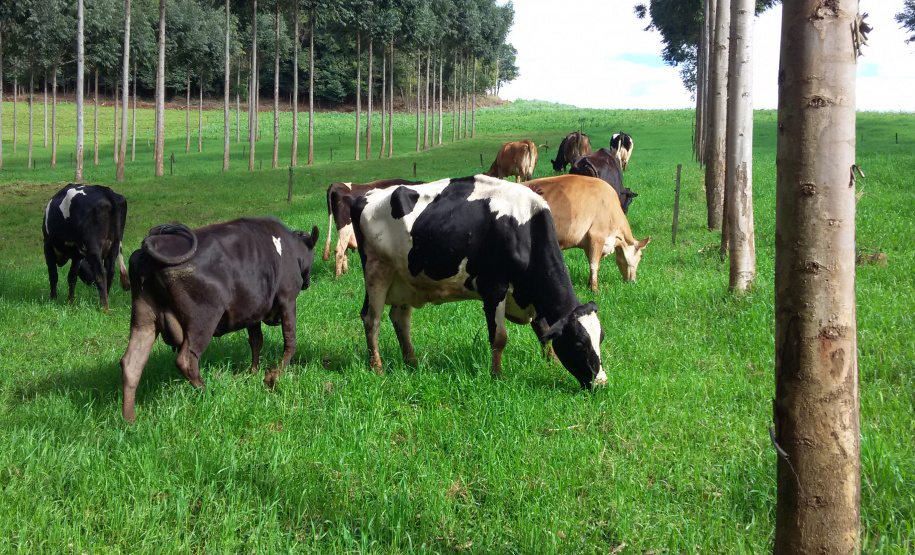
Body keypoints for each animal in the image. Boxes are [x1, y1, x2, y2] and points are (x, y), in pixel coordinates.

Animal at [119, 217, 319, 421]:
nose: (307, 283)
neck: (289, 246)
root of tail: (150, 246)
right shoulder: (288, 298)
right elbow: (290, 342)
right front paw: (273, 377)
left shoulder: (252, 311)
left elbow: (256, 341)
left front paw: (252, 373)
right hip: (203, 320)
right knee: (186, 360)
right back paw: (209, 393)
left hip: (143, 321)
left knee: (131, 364)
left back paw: (129, 420)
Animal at [351, 174, 607, 389]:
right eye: (579, 344)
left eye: (601, 338)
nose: (601, 383)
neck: (524, 230)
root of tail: (366, 195)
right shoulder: (494, 288)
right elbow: (499, 337)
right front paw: (497, 376)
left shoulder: (530, 295)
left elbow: (543, 329)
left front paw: (551, 363)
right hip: (377, 270)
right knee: (372, 320)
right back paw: (377, 368)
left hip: (404, 279)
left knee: (400, 319)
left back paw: (412, 362)